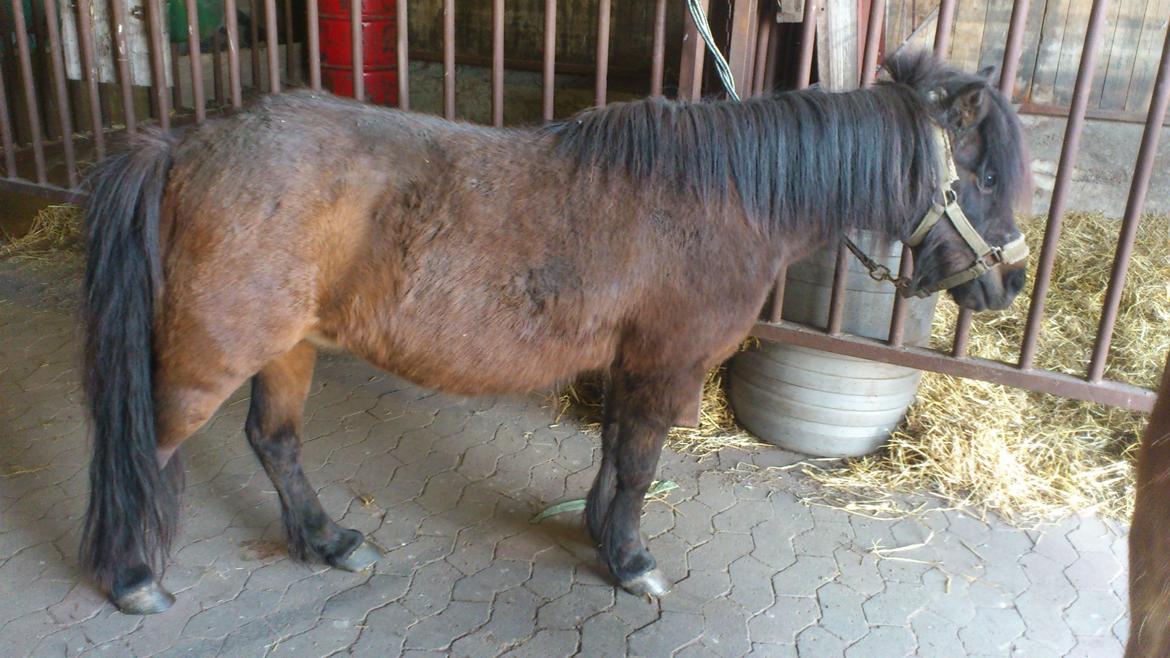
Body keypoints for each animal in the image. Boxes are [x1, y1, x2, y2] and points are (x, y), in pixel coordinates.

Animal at [79, 51, 1031, 614]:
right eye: (981, 175)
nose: (1010, 281)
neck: (721, 198)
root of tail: (184, 148)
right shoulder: (666, 363)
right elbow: (640, 466)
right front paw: (632, 561)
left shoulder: (632, 362)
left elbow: (614, 458)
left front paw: (602, 537)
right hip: (211, 357)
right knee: (143, 449)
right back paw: (133, 578)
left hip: (288, 350)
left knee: (273, 442)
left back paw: (327, 541)